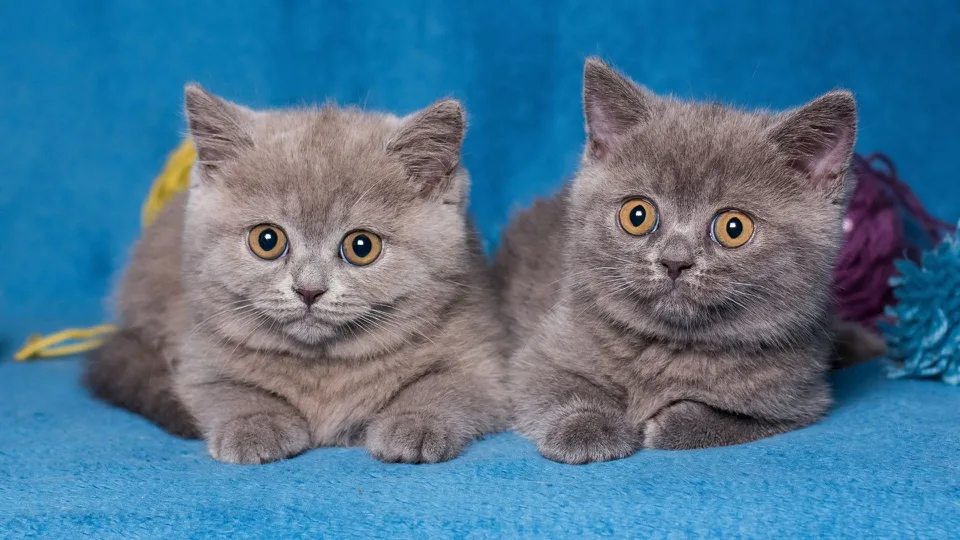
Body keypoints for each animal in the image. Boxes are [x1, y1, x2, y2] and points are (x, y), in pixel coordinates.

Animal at [86, 85, 510, 464]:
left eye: (362, 247)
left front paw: (415, 423)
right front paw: (256, 426)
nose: (309, 289)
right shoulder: (197, 358)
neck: (323, 372)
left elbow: (448, 385)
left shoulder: (483, 359)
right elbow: (229, 391)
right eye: (267, 240)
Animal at [498, 58, 880, 464]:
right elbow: (553, 385)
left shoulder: (801, 399)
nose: (674, 261)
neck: (670, 350)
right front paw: (586, 427)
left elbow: (733, 418)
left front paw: (668, 422)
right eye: (637, 215)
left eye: (733, 228)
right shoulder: (538, 354)